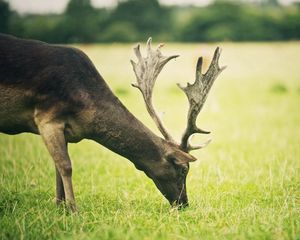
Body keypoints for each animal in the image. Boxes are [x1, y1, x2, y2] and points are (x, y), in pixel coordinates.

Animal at [0, 33, 225, 212]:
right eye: (184, 169)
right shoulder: (46, 117)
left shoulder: (62, 130)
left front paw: (59, 206)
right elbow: (66, 166)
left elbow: (57, 168)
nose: (184, 203)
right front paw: (73, 210)